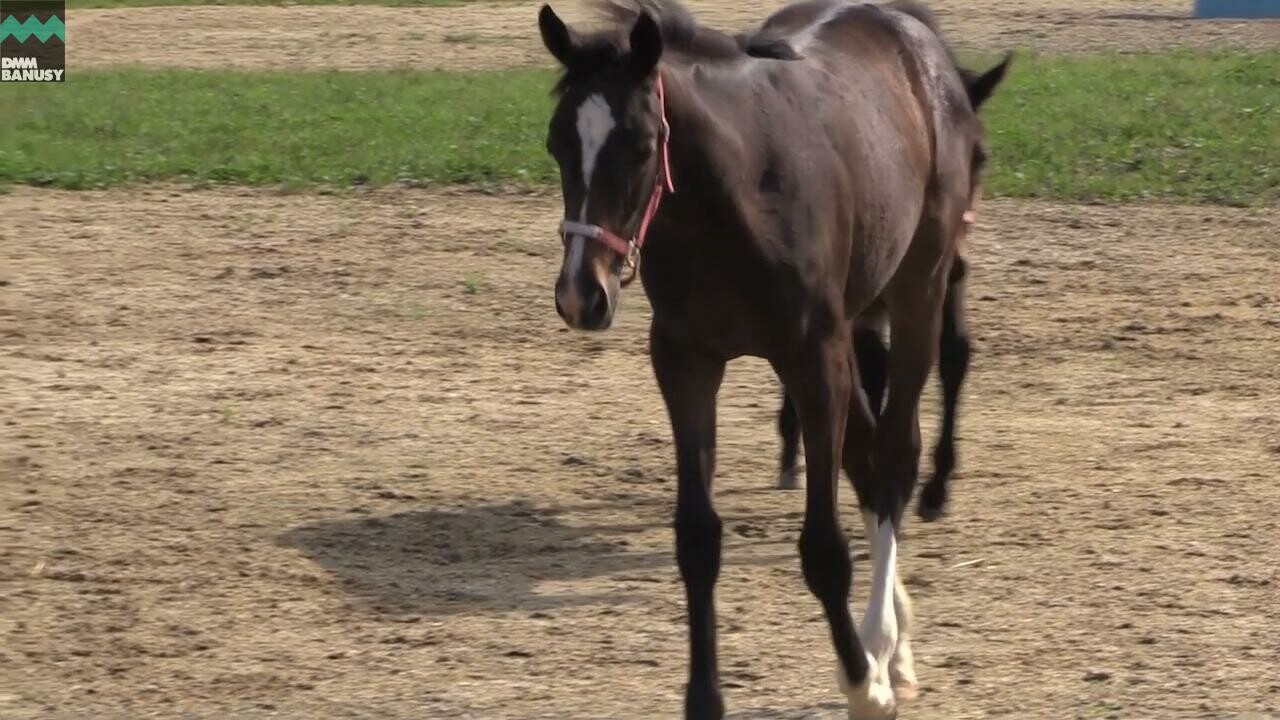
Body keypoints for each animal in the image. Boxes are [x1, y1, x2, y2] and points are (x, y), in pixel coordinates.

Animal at [540, 2, 1008, 712]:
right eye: (557, 143)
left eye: (642, 145)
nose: (580, 295)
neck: (735, 204)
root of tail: (915, 36)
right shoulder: (685, 364)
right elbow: (697, 539)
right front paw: (704, 699)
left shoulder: (813, 360)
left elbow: (823, 548)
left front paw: (862, 684)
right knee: (867, 459)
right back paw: (894, 641)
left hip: (918, 292)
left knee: (895, 455)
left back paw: (881, 643)